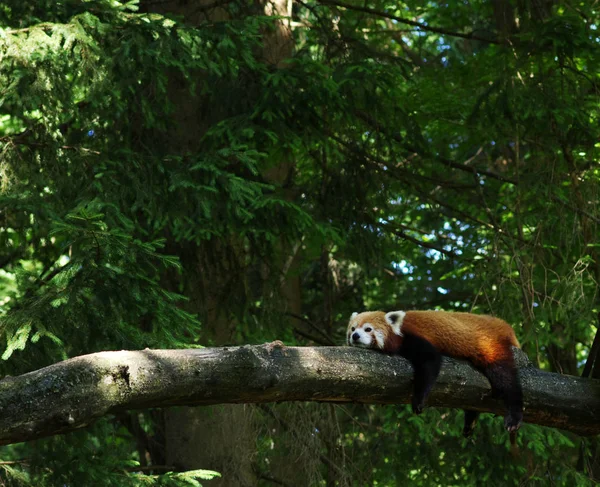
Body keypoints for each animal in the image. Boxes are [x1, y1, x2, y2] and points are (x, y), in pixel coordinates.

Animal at [350, 310, 524, 440]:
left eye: (368, 329)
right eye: (352, 329)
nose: (355, 336)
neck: (398, 331)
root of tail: (501, 324)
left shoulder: (412, 337)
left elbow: (431, 360)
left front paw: (418, 400)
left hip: (490, 346)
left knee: (506, 379)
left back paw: (514, 416)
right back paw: (471, 420)